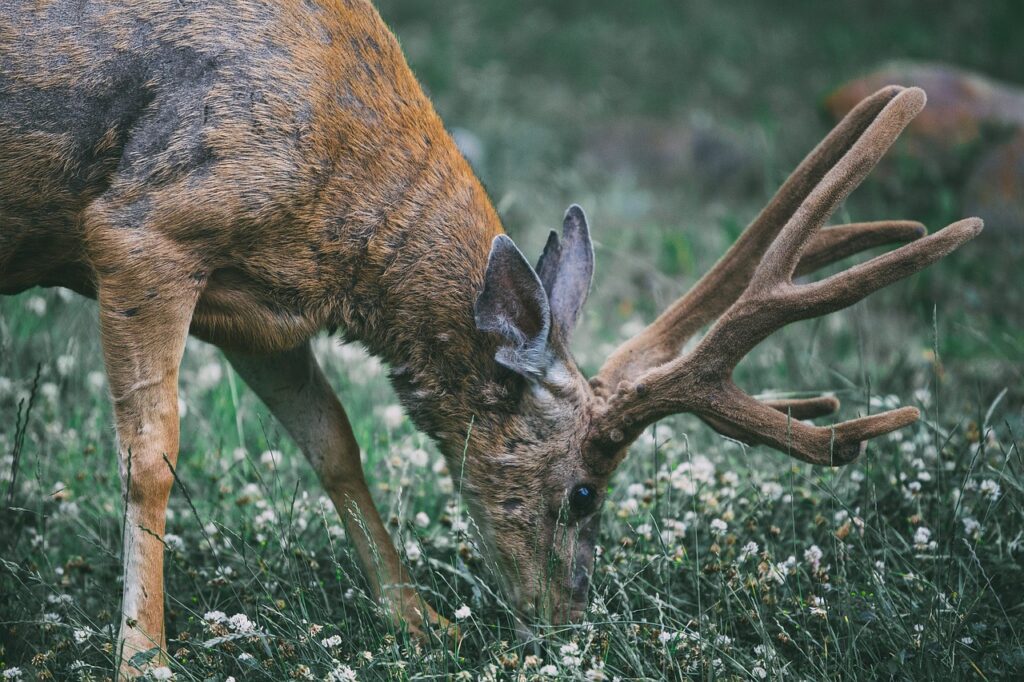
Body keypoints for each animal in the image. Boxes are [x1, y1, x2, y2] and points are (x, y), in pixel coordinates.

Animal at [0, 0, 983, 675]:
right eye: (584, 493)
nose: (568, 623)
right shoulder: (144, 229)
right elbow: (151, 457)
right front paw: (144, 657)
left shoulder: (256, 307)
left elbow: (334, 442)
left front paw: (418, 622)